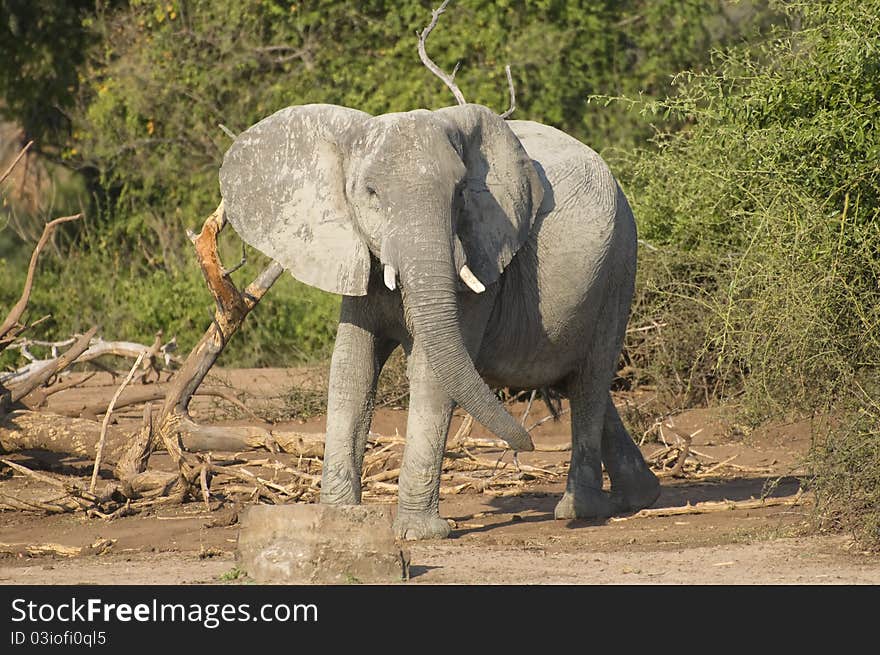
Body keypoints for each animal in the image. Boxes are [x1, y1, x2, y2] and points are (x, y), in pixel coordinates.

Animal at [218, 102, 660, 540]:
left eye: (460, 192)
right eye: (371, 193)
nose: (529, 444)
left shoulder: (481, 256)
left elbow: (430, 374)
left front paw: (419, 534)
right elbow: (351, 366)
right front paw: (338, 519)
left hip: (619, 262)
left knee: (590, 380)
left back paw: (579, 510)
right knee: (575, 380)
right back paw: (639, 496)